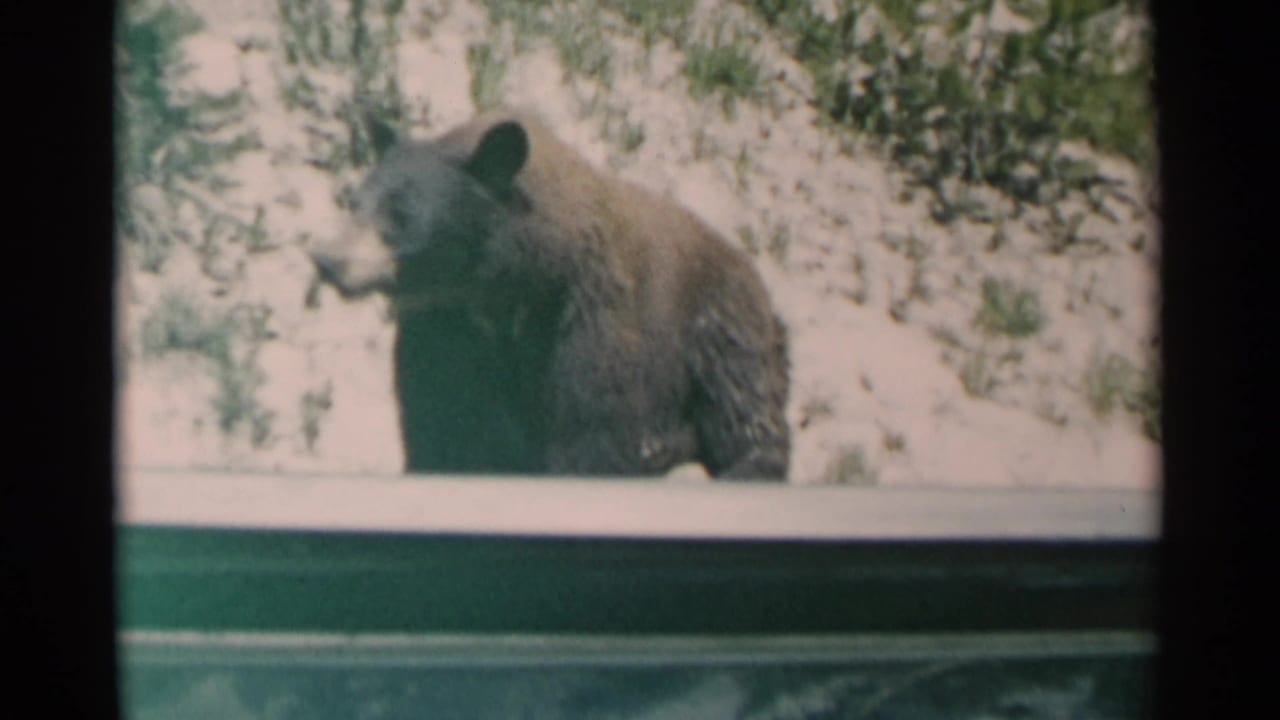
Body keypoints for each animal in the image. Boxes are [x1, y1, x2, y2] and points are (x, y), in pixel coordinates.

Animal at [310, 108, 790, 480]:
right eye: (355, 201)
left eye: (400, 215)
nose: (328, 260)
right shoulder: (447, 335)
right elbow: (441, 428)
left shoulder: (592, 333)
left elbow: (592, 437)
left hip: (719, 329)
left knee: (744, 413)